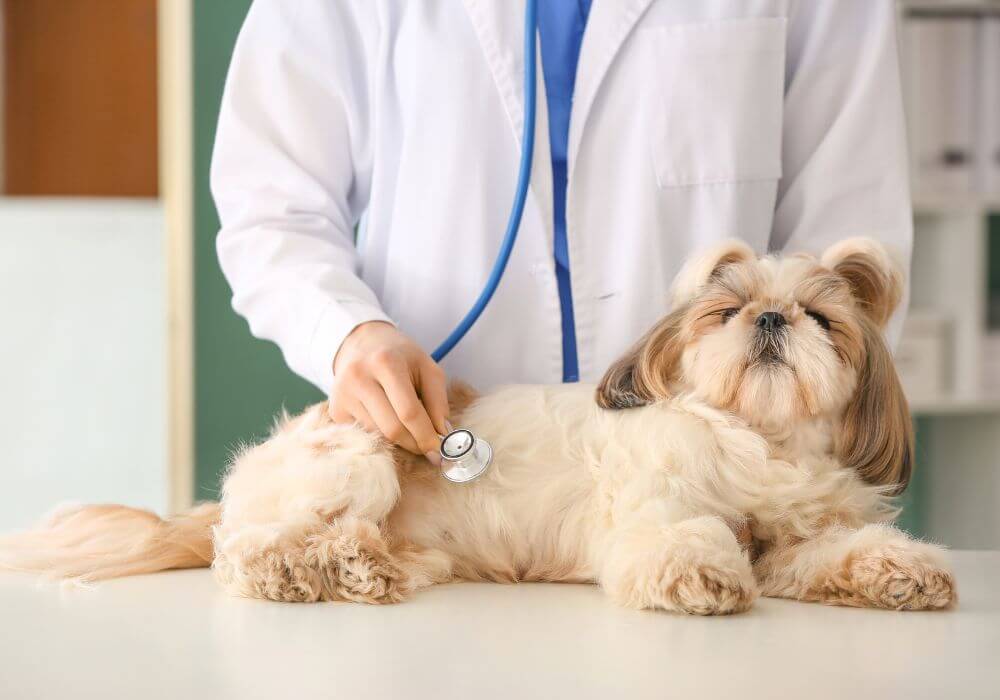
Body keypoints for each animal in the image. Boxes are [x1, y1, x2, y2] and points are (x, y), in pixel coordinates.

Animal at [0, 238, 956, 616]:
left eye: (821, 319)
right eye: (725, 310)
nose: (770, 319)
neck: (760, 441)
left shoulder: (803, 536)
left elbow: (837, 550)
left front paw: (902, 572)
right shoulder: (659, 504)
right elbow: (682, 538)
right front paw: (703, 577)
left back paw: (362, 566)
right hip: (363, 449)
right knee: (245, 553)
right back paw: (300, 567)